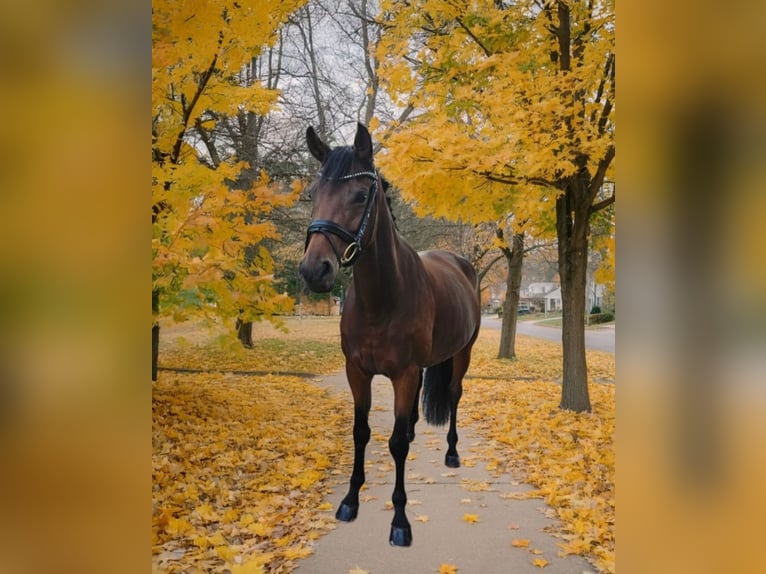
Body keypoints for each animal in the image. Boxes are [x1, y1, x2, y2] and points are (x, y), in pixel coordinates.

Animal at [299, 123, 481, 547]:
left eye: (359, 195)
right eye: (312, 194)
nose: (315, 270)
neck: (383, 298)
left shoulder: (404, 373)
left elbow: (395, 443)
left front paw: (400, 520)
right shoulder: (357, 372)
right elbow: (361, 432)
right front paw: (350, 500)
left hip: (461, 355)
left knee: (454, 395)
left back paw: (451, 453)